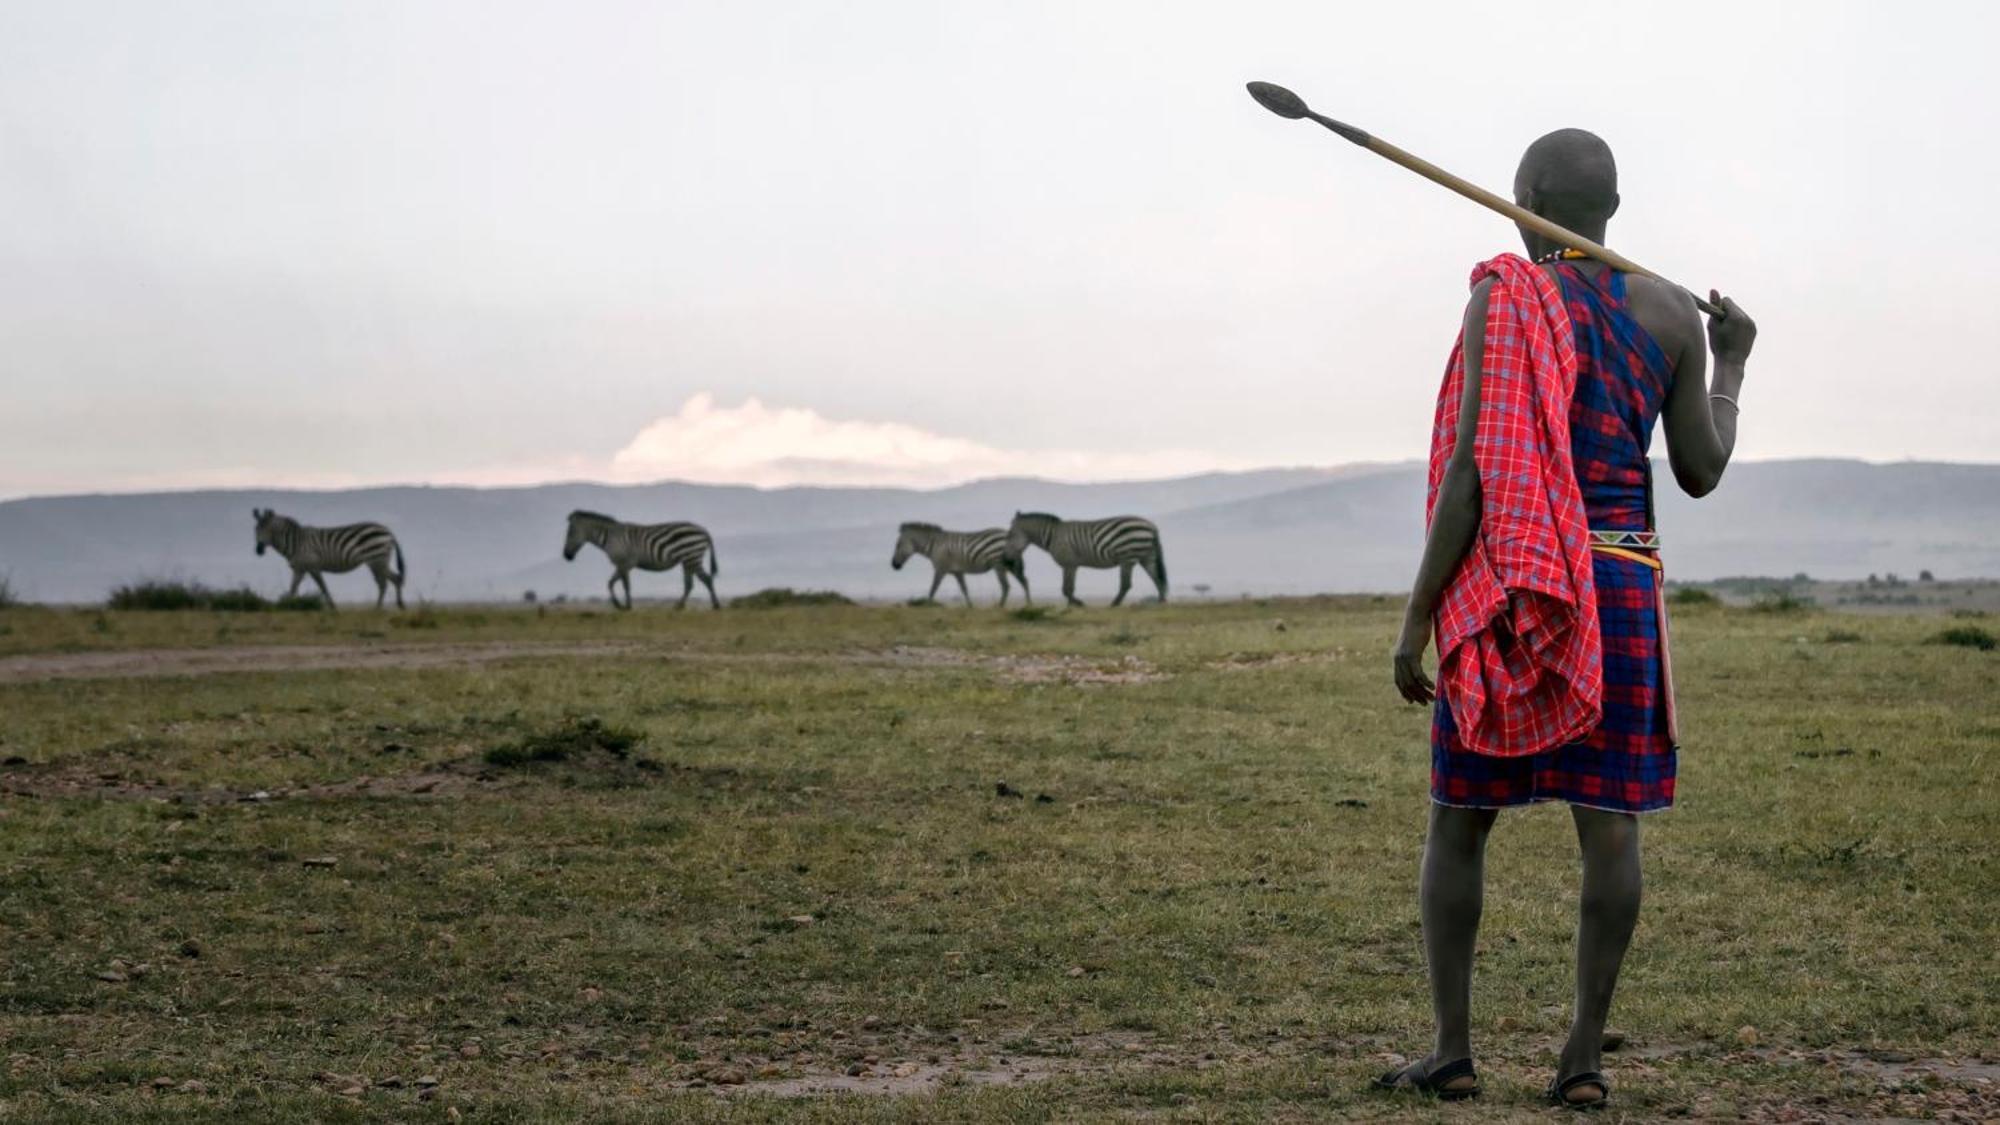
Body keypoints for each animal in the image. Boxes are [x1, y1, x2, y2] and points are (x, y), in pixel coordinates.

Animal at [250, 508, 406, 608]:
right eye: (256, 529)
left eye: (269, 530)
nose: (258, 550)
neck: (296, 542)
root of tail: (389, 532)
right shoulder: (299, 569)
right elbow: (292, 589)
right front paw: (287, 606)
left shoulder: (313, 567)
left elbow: (323, 587)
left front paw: (333, 608)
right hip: (379, 561)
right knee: (395, 579)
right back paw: (400, 605)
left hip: (376, 560)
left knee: (384, 583)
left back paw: (377, 609)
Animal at [564, 510, 720, 608]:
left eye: (570, 533)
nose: (566, 556)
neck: (610, 536)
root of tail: (704, 531)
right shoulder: (620, 565)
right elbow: (611, 583)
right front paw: (619, 605)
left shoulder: (625, 563)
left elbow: (625, 585)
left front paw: (626, 606)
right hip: (687, 560)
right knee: (689, 584)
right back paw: (678, 606)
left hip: (692, 556)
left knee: (706, 579)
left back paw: (716, 605)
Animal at [892, 524, 1032, 604]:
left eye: (898, 545)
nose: (894, 565)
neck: (935, 546)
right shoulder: (957, 571)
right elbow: (964, 589)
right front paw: (970, 607)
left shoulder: (940, 569)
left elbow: (933, 588)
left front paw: (928, 605)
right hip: (1011, 564)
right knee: (1024, 581)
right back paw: (1028, 604)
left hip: (998, 564)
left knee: (1006, 586)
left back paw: (1000, 607)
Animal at [1008, 512, 1168, 608]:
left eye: (1010, 535)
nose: (1008, 560)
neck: (1053, 536)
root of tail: (1152, 526)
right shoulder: (1071, 565)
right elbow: (1068, 588)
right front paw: (1071, 606)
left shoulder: (1069, 564)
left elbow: (1067, 589)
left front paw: (1078, 604)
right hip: (1147, 556)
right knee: (1157, 578)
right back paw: (1161, 603)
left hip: (1127, 557)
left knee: (1126, 584)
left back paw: (1114, 604)